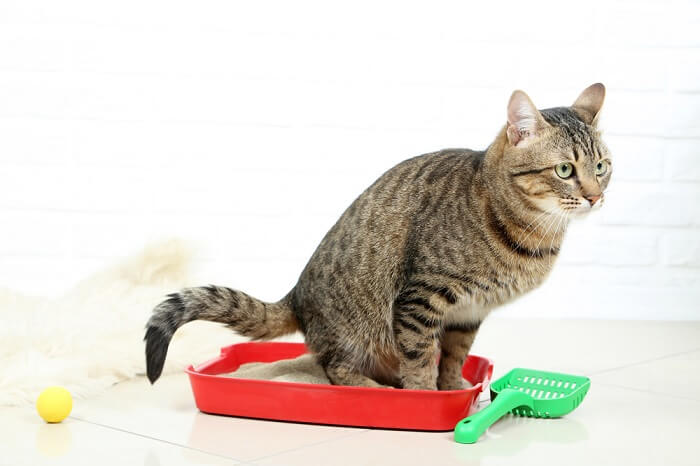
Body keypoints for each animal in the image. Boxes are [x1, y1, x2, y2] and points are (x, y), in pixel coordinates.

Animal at [145, 83, 608, 390]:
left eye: (602, 166)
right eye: (564, 170)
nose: (595, 196)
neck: (531, 234)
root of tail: (297, 293)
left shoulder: (468, 313)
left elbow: (454, 358)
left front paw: (456, 390)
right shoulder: (421, 298)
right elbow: (420, 359)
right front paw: (424, 399)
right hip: (353, 332)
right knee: (334, 369)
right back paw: (372, 387)